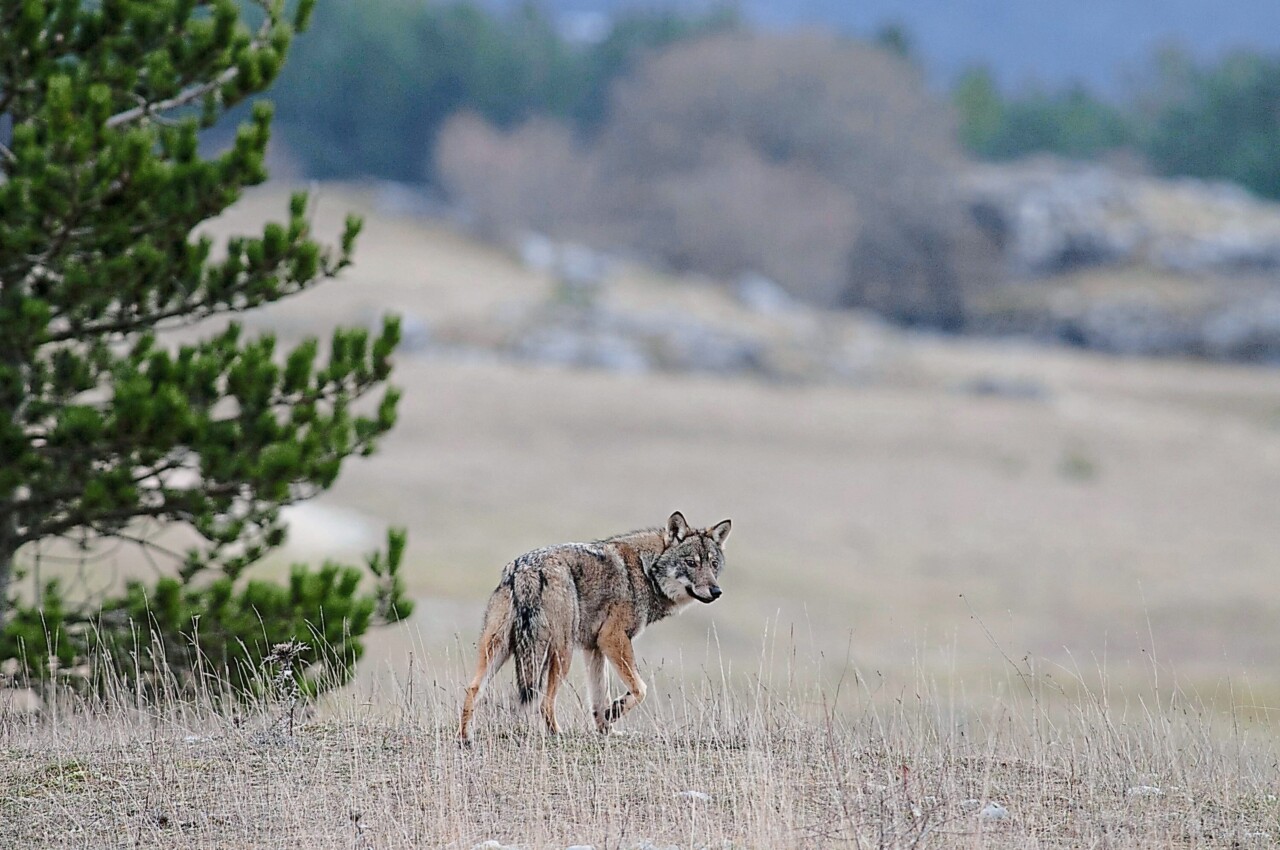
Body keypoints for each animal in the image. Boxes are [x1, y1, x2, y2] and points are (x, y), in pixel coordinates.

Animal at [457, 511, 730, 742]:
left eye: (713, 564)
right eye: (691, 563)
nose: (717, 591)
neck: (646, 572)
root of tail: (525, 568)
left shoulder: (594, 648)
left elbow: (600, 700)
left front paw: (607, 730)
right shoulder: (613, 639)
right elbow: (640, 689)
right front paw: (614, 712)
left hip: (499, 649)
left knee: (472, 689)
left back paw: (465, 738)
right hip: (561, 654)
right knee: (545, 701)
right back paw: (558, 734)